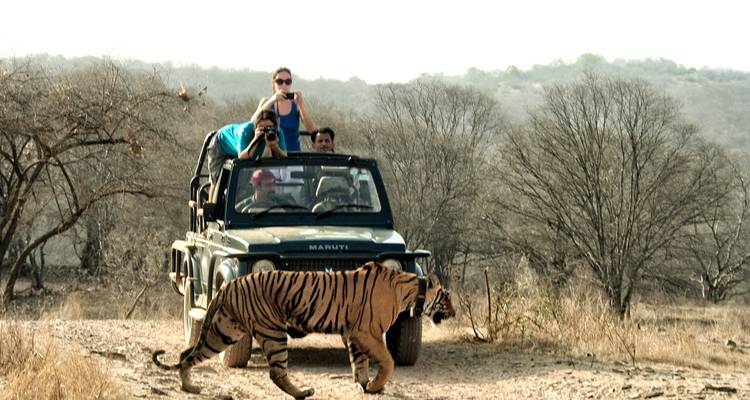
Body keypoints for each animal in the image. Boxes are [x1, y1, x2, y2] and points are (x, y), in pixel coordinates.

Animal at [152, 261, 455, 399]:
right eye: (447, 297)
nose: (454, 313)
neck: (411, 290)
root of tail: (231, 283)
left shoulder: (353, 333)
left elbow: (359, 363)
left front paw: (367, 386)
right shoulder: (367, 332)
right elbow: (388, 361)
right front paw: (376, 385)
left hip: (224, 330)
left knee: (187, 355)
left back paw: (189, 386)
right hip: (272, 331)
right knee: (276, 372)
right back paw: (303, 392)